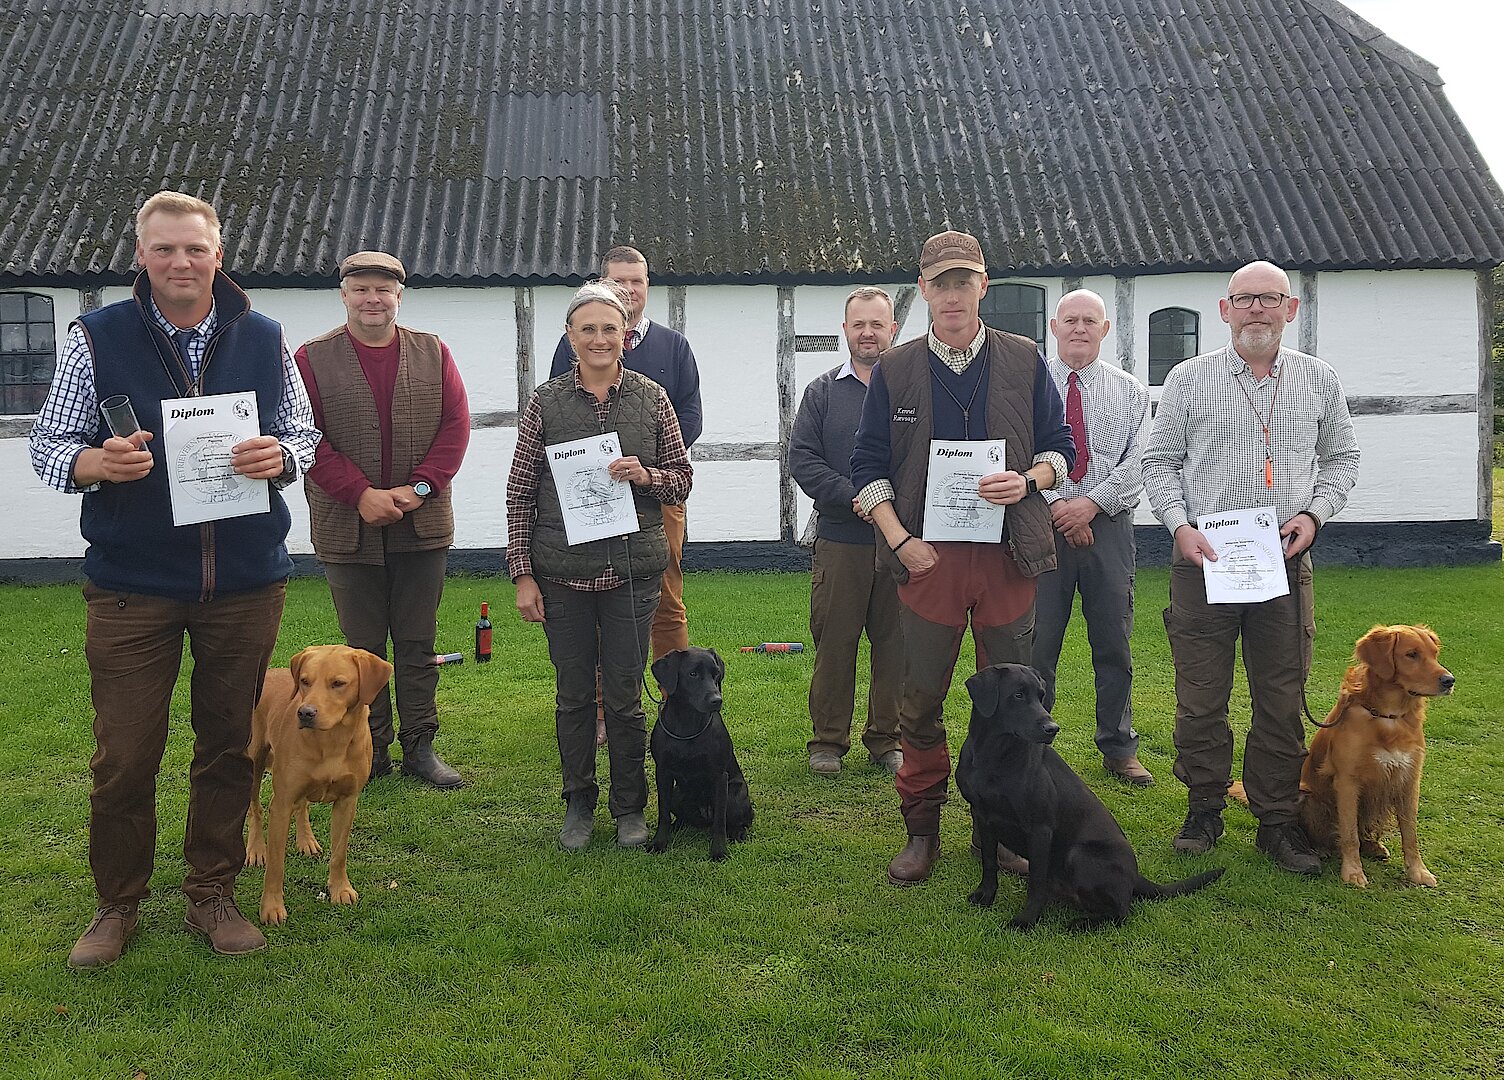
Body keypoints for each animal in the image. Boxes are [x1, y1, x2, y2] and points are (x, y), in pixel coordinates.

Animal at [245, 645, 393, 925]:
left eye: (338, 683)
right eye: (305, 681)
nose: (305, 713)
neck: (332, 741)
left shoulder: (348, 801)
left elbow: (339, 854)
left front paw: (340, 889)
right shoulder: (281, 805)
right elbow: (276, 865)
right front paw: (271, 907)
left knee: (301, 805)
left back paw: (306, 840)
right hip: (254, 760)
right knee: (256, 807)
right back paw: (256, 849)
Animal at [646, 647, 753, 861]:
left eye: (716, 674)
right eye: (692, 674)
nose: (716, 700)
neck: (688, 725)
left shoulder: (719, 777)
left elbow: (719, 821)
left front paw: (718, 851)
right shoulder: (663, 772)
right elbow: (663, 812)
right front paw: (659, 842)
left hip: (734, 796)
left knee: (736, 821)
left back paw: (737, 833)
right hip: (678, 794)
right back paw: (677, 826)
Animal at [956, 664, 1224, 929]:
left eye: (1041, 696)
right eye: (1018, 695)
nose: (1052, 729)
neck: (993, 756)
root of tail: (1135, 876)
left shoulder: (1040, 828)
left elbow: (1036, 881)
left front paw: (1026, 920)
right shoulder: (983, 816)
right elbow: (989, 863)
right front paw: (985, 896)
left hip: (1079, 855)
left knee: (1122, 912)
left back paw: (1080, 924)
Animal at [1299, 624, 1453, 888]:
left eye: (1435, 654)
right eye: (1411, 654)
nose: (1449, 680)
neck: (1388, 715)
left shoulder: (1408, 780)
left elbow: (1410, 834)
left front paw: (1418, 872)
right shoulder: (1347, 782)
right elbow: (1349, 834)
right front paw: (1353, 872)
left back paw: (1374, 847)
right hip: (1307, 797)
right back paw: (1321, 849)